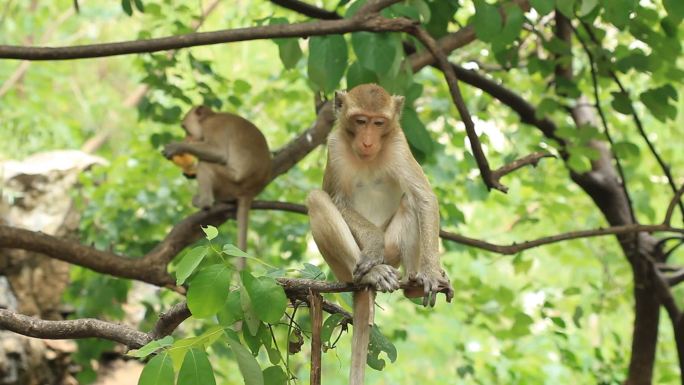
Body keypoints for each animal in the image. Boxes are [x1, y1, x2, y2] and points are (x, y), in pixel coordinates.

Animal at [308, 84, 452, 384]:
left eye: (379, 123)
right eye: (361, 121)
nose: (367, 141)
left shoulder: (398, 144)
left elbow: (424, 198)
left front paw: (432, 273)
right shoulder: (334, 146)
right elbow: (337, 200)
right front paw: (372, 245)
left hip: (393, 252)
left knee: (409, 201)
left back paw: (413, 285)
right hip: (342, 270)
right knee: (316, 199)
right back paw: (371, 274)